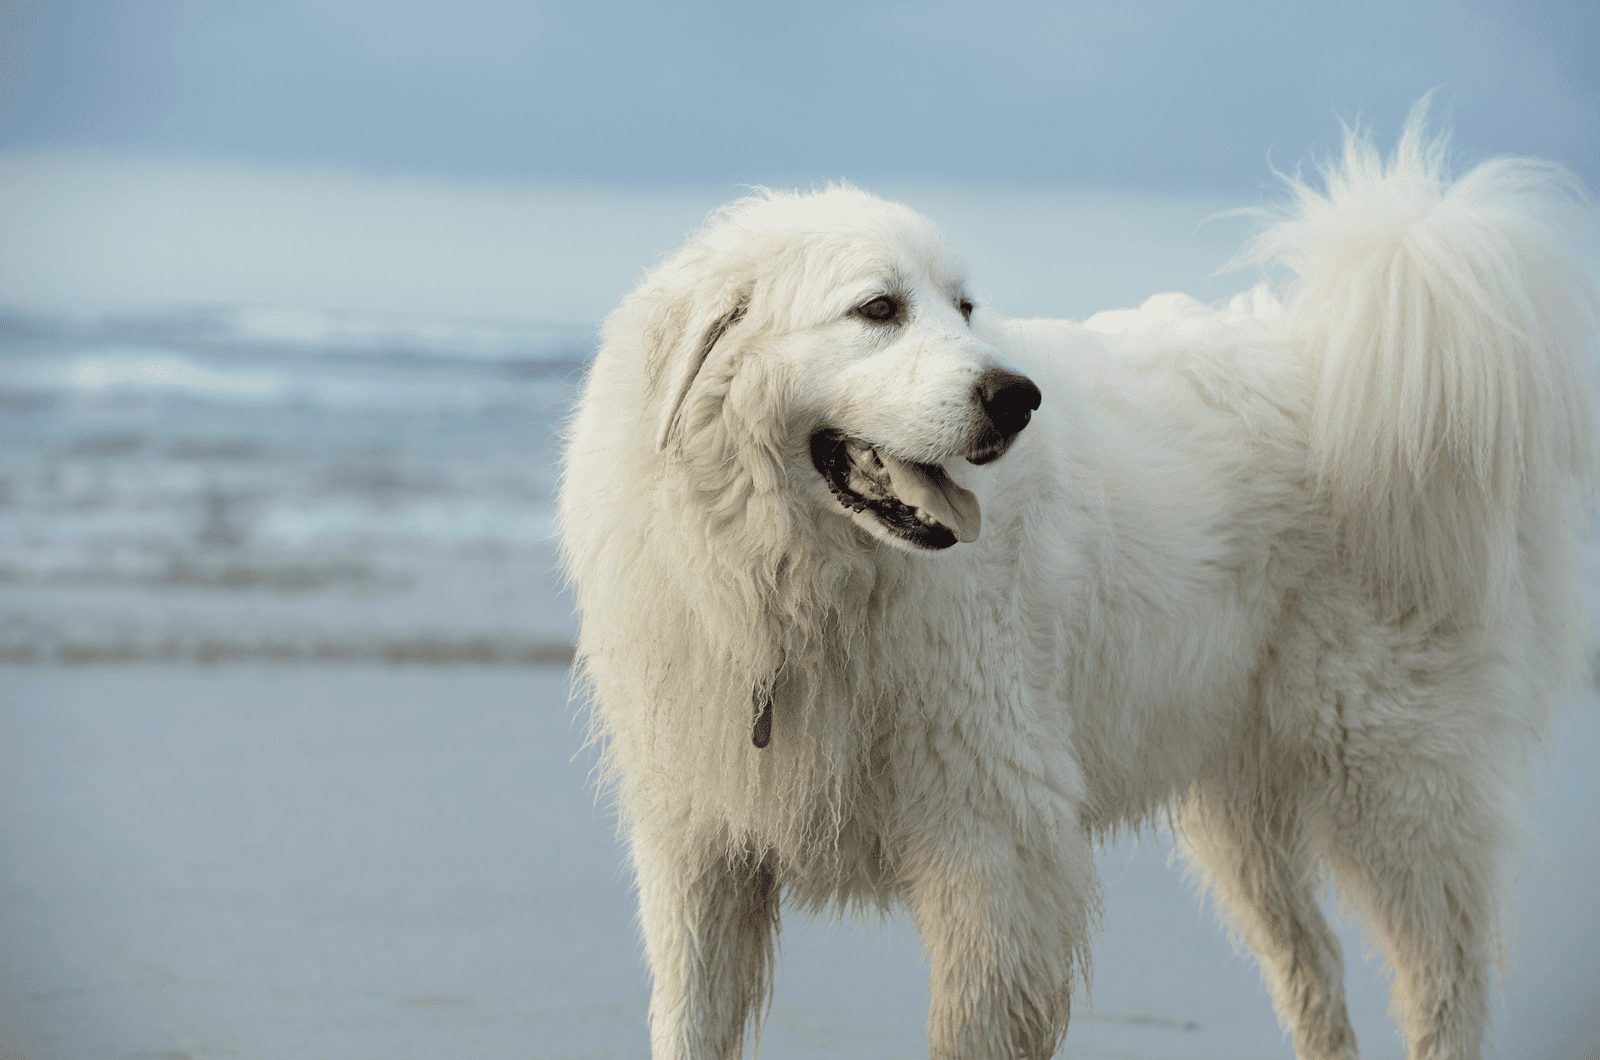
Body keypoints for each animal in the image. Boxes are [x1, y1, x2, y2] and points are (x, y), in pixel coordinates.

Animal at [556, 112, 1593, 1056]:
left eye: (964, 308)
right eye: (878, 309)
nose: (1015, 398)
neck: (798, 586)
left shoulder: (995, 848)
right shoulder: (702, 856)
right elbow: (689, 1024)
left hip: (1392, 769)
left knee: (1442, 983)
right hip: (1241, 809)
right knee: (1314, 968)